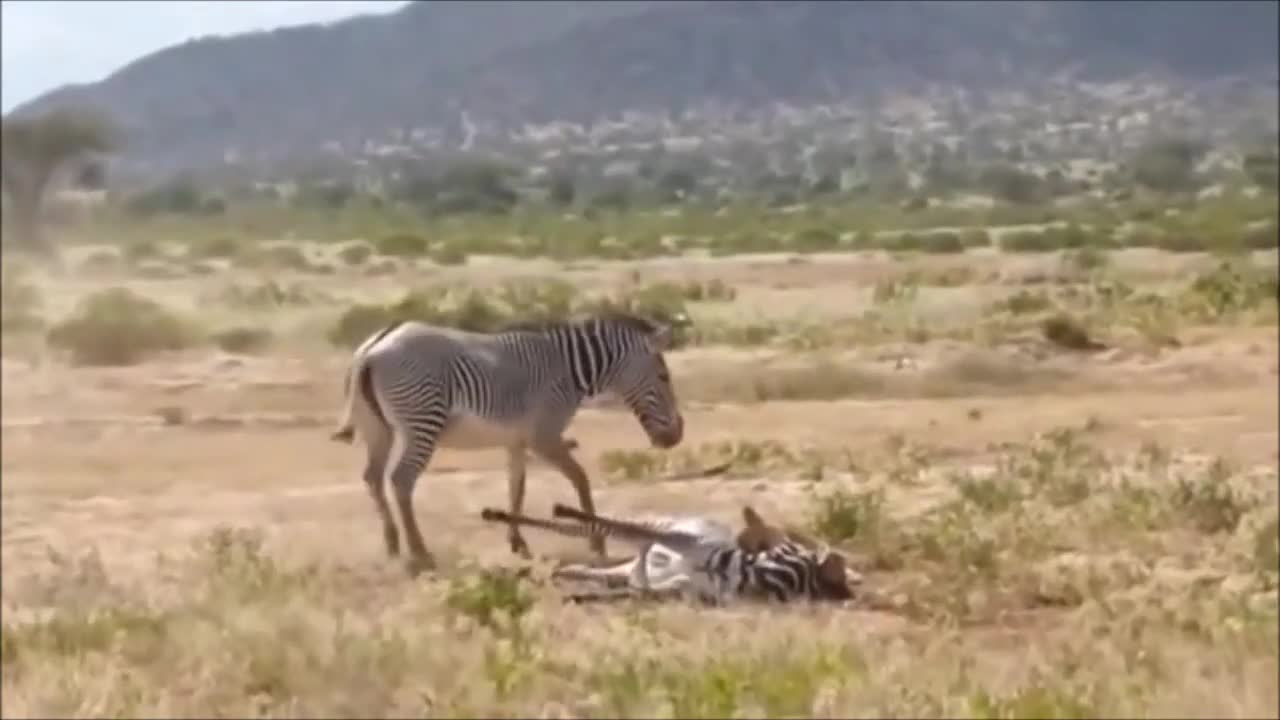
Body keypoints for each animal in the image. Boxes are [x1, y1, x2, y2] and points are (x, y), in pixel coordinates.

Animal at [335, 311, 686, 573]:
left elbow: (517, 486)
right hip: (422, 422)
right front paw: (597, 542)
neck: (568, 370)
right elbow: (580, 479)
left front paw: (517, 542)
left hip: (378, 429)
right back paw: (420, 553)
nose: (677, 435)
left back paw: (393, 546)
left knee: (373, 477)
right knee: (401, 479)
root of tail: (374, 347)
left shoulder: (517, 440)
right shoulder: (544, 436)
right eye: (664, 377)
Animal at [476, 499, 855, 604]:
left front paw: (572, 597)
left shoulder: (674, 591)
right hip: (661, 526)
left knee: (595, 568)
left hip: (632, 566)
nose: (749, 515)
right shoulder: (687, 542)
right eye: (785, 543)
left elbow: (616, 595)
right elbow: (613, 526)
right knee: (603, 527)